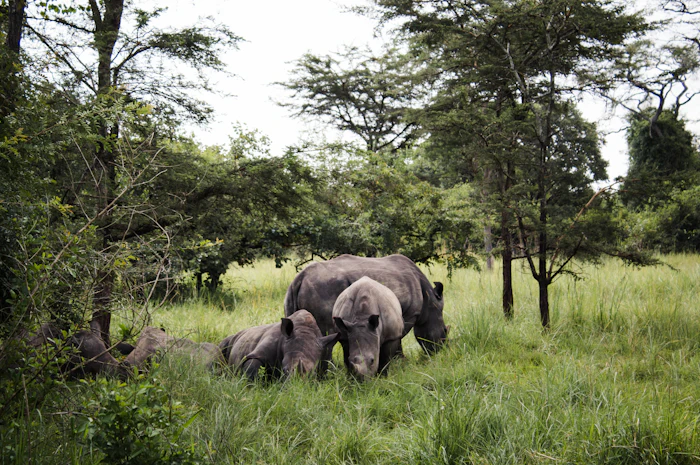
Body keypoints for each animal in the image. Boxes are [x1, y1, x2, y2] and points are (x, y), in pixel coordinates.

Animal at [284, 254, 447, 372]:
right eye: (445, 332)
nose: (440, 351)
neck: (429, 302)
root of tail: (300, 278)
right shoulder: (409, 314)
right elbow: (399, 336)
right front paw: (401, 362)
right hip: (324, 287)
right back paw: (331, 372)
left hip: (291, 294)